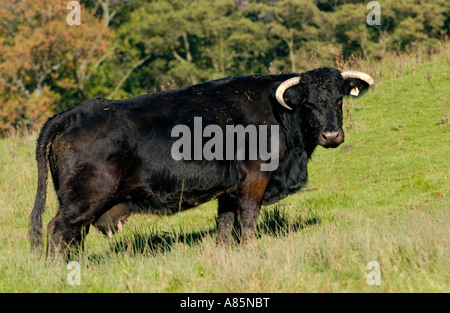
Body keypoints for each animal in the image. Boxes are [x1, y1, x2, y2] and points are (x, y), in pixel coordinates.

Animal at [26, 66, 374, 256]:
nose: (332, 135)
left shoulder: (230, 189)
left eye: (339, 100)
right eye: (308, 103)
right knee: (59, 231)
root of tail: (74, 113)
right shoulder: (254, 178)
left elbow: (225, 224)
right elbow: (249, 220)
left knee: (73, 236)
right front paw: (252, 250)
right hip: (82, 199)